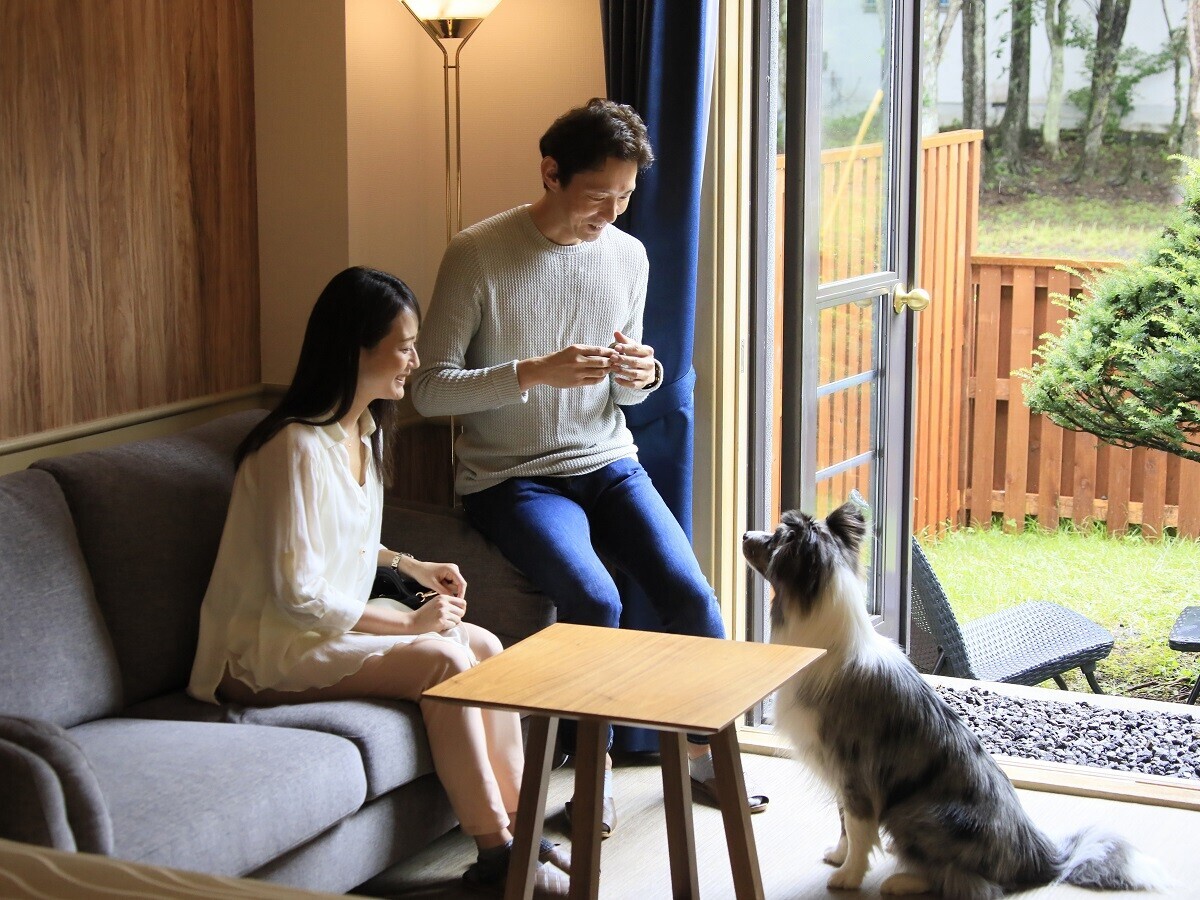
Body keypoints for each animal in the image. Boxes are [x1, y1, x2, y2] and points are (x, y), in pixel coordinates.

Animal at [739, 504, 1161, 897]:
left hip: (917, 811)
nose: (744, 534)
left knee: (964, 881)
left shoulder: (856, 773)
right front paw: (838, 857)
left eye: (775, 539)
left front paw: (847, 877)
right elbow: (844, 824)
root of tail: (1041, 857)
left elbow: (859, 831)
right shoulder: (840, 774)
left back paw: (901, 882)